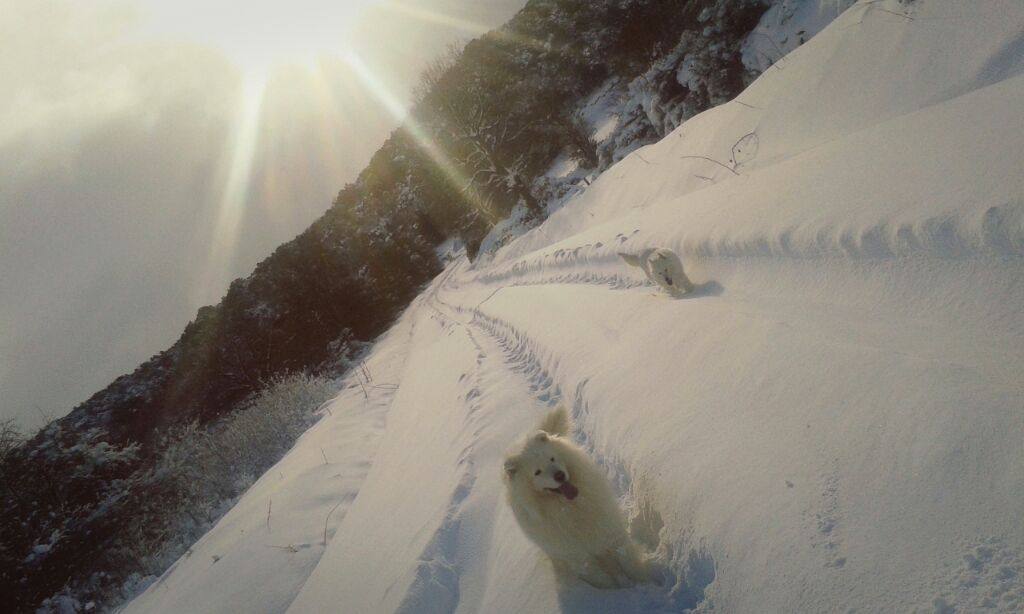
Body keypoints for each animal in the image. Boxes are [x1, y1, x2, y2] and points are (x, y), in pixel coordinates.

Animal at [501, 405, 647, 589]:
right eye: (537, 472)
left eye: (552, 458)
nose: (560, 475)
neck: (569, 508)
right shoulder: (576, 556)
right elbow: (601, 577)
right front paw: (614, 591)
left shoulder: (610, 530)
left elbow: (628, 559)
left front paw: (648, 579)